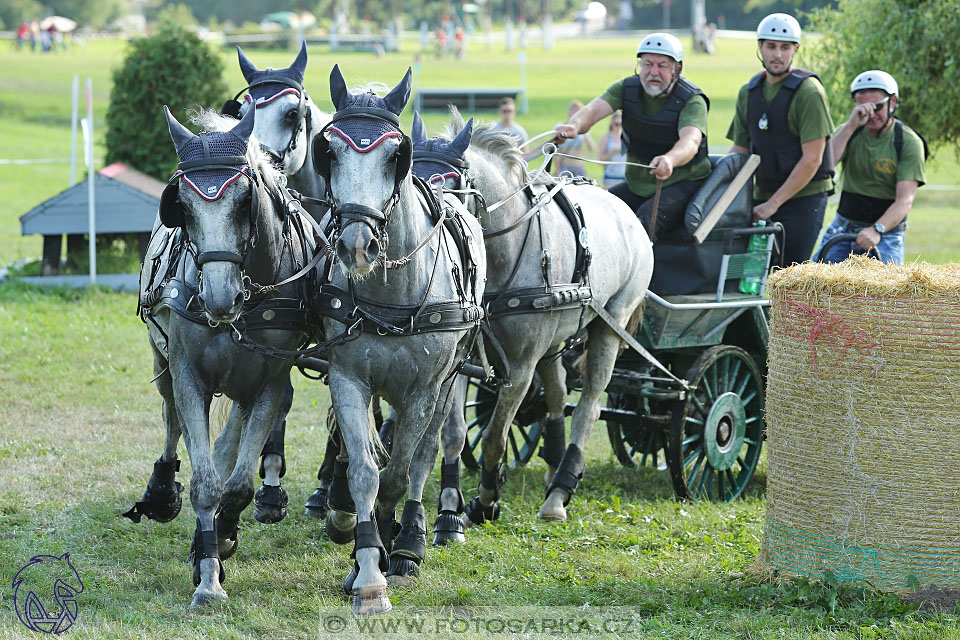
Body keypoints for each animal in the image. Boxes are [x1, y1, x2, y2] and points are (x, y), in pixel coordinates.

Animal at [135, 105, 318, 604]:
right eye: (182, 205)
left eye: (243, 201)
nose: (220, 297)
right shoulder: (189, 377)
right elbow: (204, 483)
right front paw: (208, 579)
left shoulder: (269, 383)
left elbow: (236, 486)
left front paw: (221, 539)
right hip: (162, 363)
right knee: (170, 419)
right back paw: (162, 490)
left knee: (229, 440)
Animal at [316, 66, 488, 616]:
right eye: (330, 151)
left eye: (396, 156)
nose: (356, 245)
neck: (391, 293)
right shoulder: (348, 379)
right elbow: (366, 471)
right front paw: (367, 570)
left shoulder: (423, 389)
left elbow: (398, 473)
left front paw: (389, 552)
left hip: (449, 379)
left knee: (428, 451)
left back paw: (411, 540)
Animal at [412, 109, 652, 528]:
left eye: (450, 183)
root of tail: (626, 211)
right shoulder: (462, 357)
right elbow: (454, 433)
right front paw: (450, 509)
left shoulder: (521, 367)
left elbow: (495, 437)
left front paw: (487, 499)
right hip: (554, 339)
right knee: (556, 396)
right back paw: (554, 466)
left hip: (610, 326)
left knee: (588, 408)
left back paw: (560, 491)